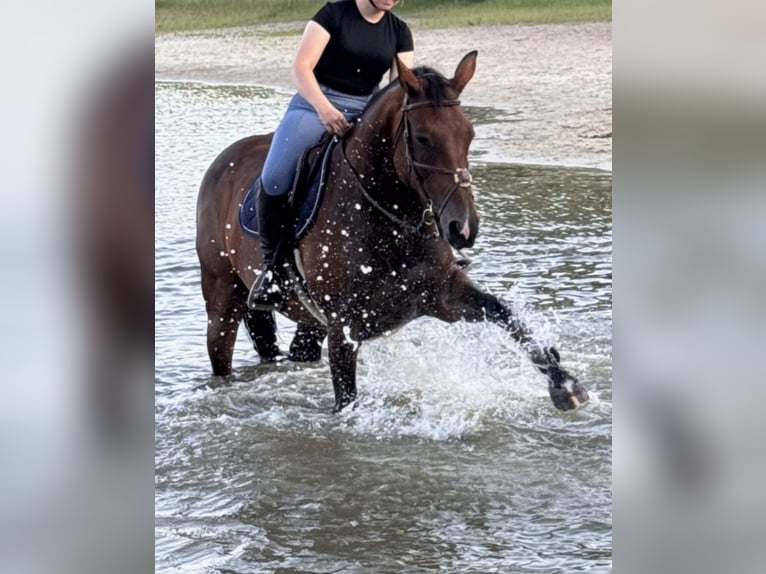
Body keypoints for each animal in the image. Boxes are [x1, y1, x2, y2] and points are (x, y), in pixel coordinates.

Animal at [196, 51, 588, 413]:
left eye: (470, 133)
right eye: (423, 138)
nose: (463, 228)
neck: (389, 222)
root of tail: (222, 162)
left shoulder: (443, 295)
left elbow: (507, 316)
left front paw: (564, 383)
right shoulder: (343, 328)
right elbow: (346, 400)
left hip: (307, 322)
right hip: (222, 299)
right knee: (221, 355)